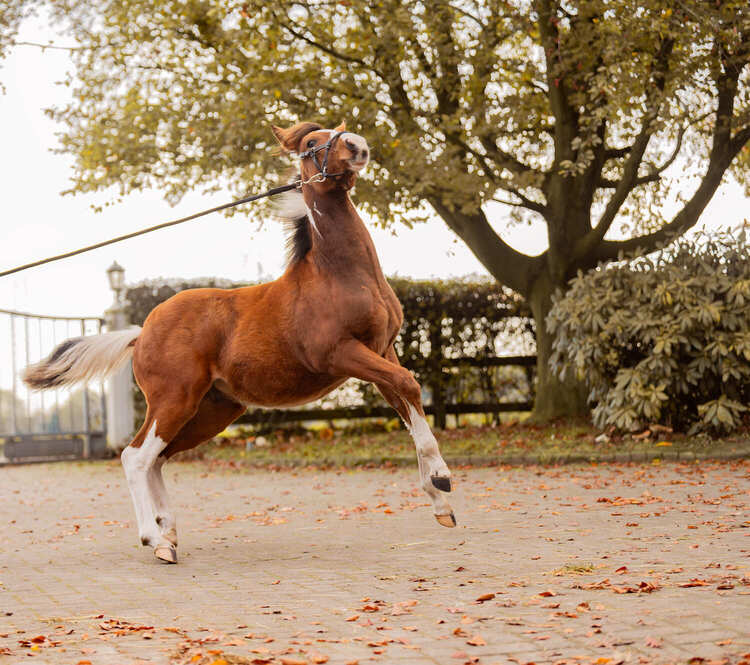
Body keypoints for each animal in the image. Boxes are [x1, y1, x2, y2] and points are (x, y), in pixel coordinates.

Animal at [23, 122, 456, 564]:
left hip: (212, 410)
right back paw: (155, 540)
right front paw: (442, 480)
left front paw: (441, 504)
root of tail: (140, 333)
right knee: (136, 456)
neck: (338, 276)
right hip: (173, 400)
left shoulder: (383, 350)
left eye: (337, 129)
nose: (357, 146)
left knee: (157, 458)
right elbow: (409, 384)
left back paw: (170, 533)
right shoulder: (342, 354)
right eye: (311, 143)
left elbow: (407, 403)